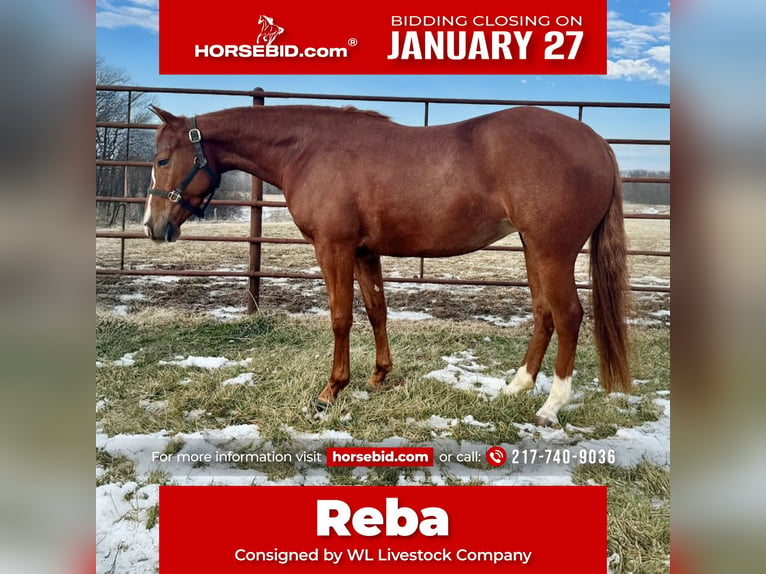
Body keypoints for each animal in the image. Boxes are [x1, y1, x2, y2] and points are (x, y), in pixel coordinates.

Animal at [142, 104, 632, 428]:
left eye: (163, 160)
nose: (152, 225)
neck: (309, 150)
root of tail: (597, 143)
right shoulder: (364, 252)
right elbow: (376, 310)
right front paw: (378, 376)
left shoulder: (334, 248)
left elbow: (341, 317)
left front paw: (331, 391)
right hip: (533, 249)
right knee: (544, 314)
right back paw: (516, 386)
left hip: (553, 251)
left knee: (568, 316)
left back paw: (551, 406)